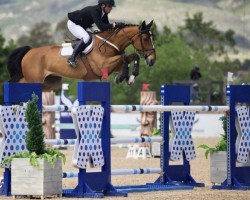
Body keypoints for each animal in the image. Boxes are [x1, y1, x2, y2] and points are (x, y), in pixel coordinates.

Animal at [7, 20, 156, 90]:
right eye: (146, 39)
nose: (152, 60)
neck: (109, 43)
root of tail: (29, 51)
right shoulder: (103, 66)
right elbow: (124, 57)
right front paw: (122, 77)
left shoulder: (114, 66)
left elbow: (132, 57)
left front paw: (129, 78)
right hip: (34, 80)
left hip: (49, 82)